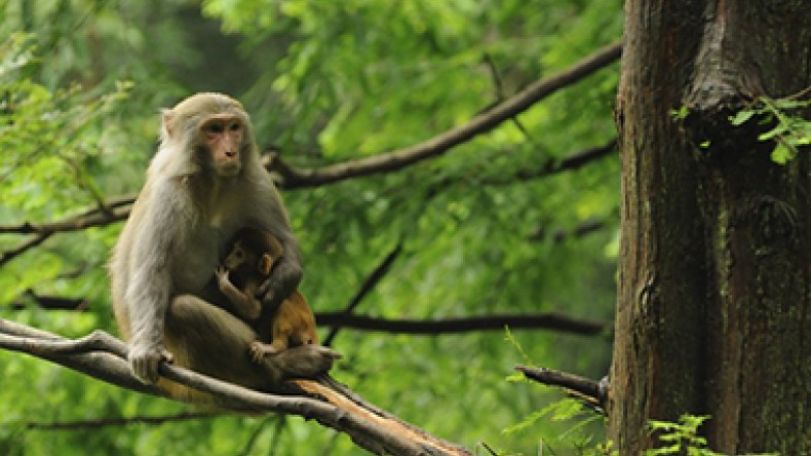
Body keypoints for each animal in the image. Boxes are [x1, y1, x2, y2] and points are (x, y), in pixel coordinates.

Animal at [214, 227, 320, 362]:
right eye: (233, 249)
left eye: (239, 254)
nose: (227, 259)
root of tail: (312, 331)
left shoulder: (253, 281)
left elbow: (254, 310)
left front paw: (223, 281)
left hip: (300, 324)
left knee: (282, 304)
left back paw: (274, 347)